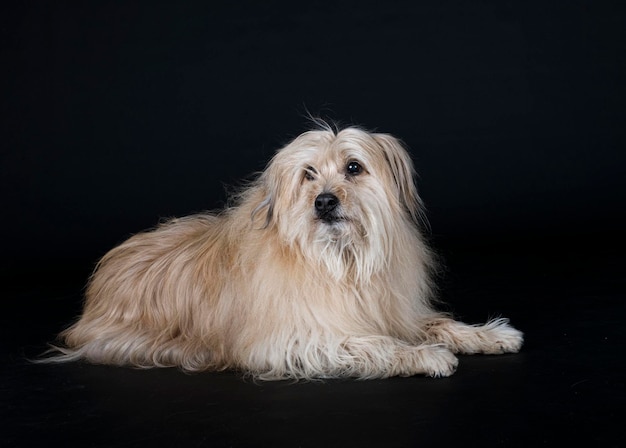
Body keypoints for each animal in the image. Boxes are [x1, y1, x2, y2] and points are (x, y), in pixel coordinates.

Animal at [45, 124, 520, 380]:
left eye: (353, 167)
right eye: (308, 174)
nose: (324, 201)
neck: (338, 260)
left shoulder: (394, 310)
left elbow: (437, 323)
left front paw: (488, 335)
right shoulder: (295, 339)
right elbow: (375, 343)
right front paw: (423, 354)